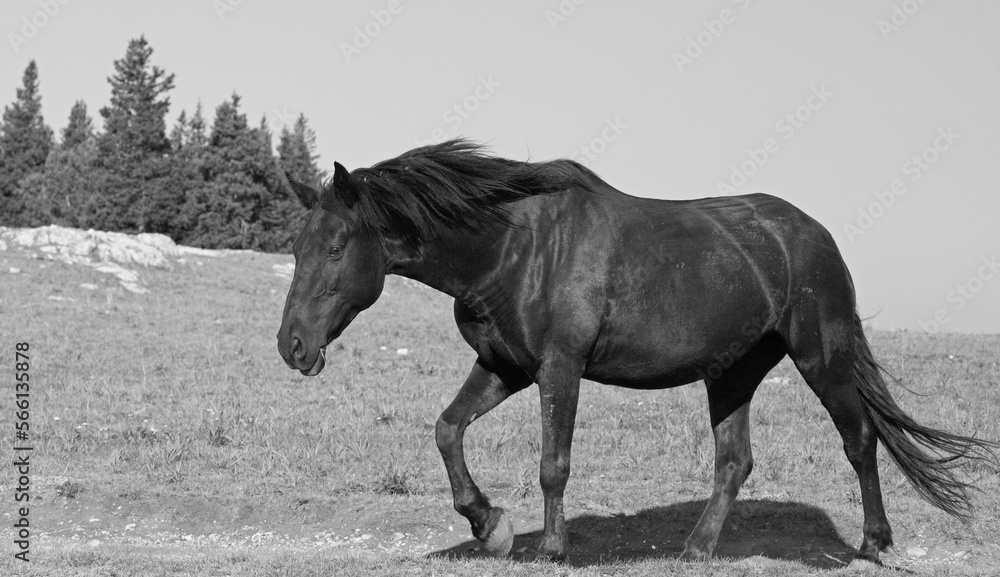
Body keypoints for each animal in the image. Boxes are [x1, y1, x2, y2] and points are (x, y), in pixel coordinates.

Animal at [276, 139, 996, 564]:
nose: (293, 345)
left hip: (822, 355)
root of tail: (816, 235)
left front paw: (551, 547)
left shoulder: (559, 368)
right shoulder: (504, 367)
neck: (514, 248)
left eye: (336, 247)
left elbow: (553, 463)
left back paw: (873, 543)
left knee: (860, 440)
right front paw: (489, 524)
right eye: (297, 245)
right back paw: (695, 549)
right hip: (732, 374)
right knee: (734, 461)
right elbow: (447, 429)